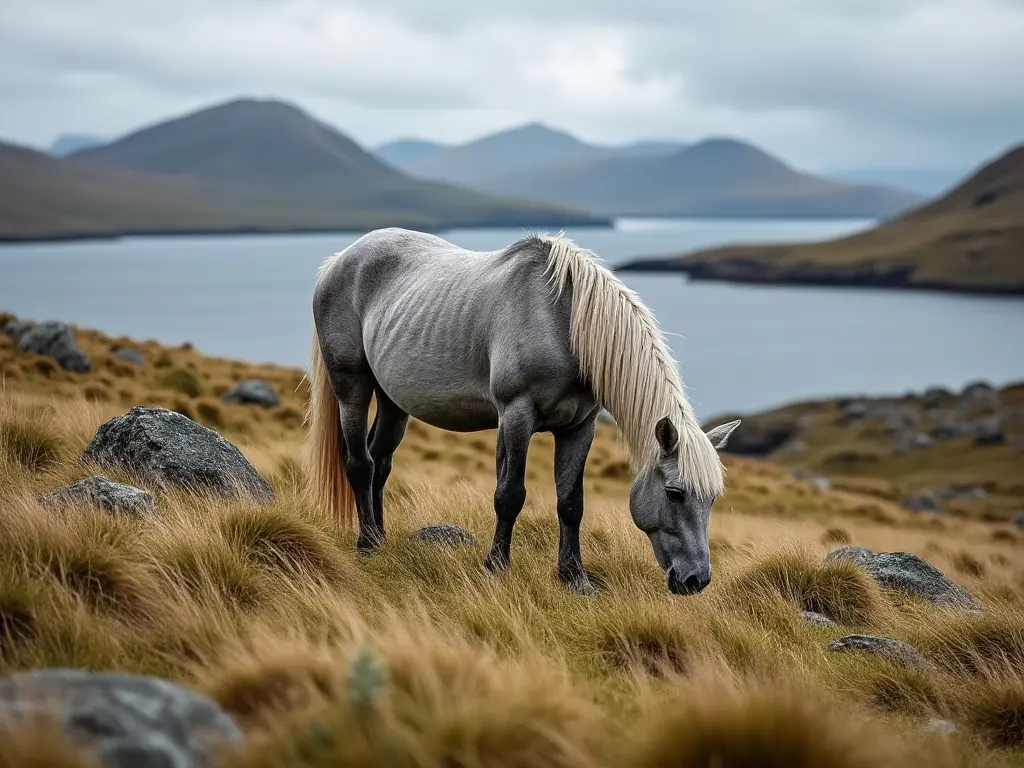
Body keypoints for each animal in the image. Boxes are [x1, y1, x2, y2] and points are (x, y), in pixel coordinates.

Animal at [303, 225, 737, 598]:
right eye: (675, 493)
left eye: (713, 497)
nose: (696, 580)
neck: (563, 323)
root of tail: (340, 260)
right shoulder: (516, 415)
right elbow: (509, 493)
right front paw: (496, 566)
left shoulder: (580, 426)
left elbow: (571, 501)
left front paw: (574, 578)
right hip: (352, 387)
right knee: (360, 464)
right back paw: (366, 543)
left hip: (394, 401)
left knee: (380, 462)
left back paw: (380, 538)